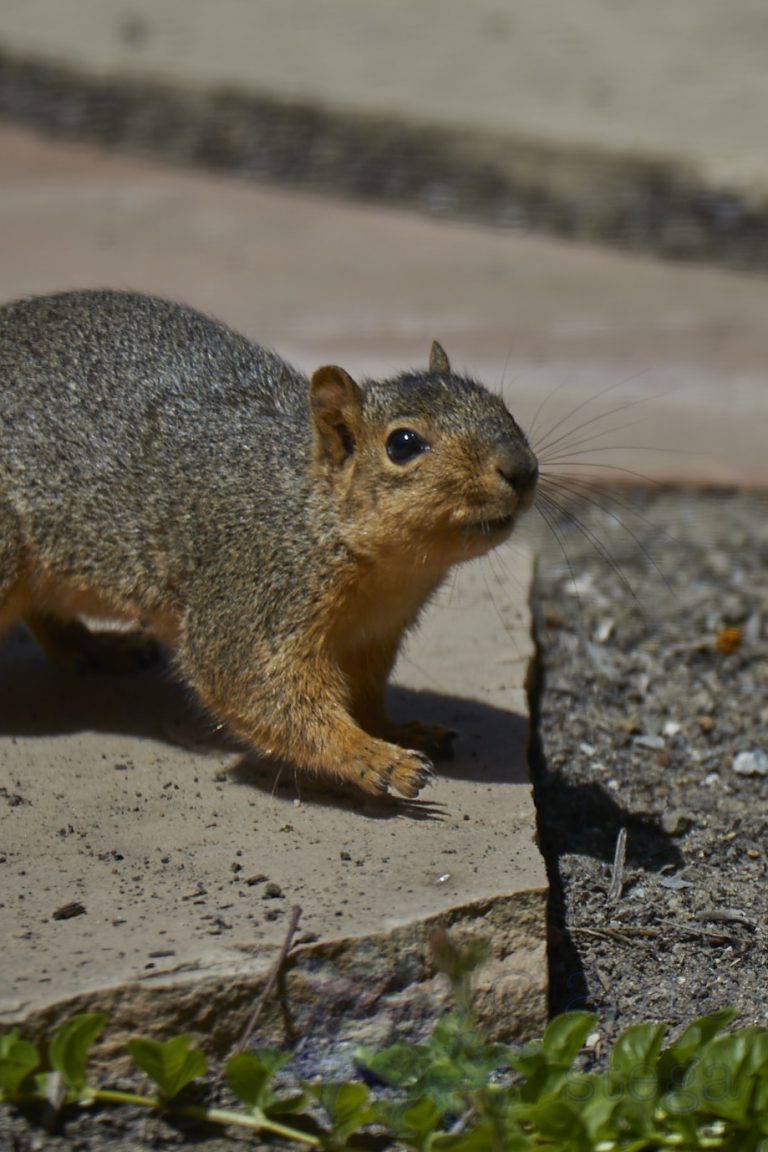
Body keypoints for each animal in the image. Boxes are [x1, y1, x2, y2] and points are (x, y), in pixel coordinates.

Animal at [0, 290, 538, 799]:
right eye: (403, 444)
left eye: (503, 408)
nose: (522, 469)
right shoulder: (255, 590)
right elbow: (251, 683)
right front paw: (373, 758)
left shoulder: (373, 633)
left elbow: (364, 694)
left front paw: (397, 730)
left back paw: (95, 648)